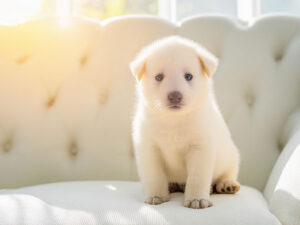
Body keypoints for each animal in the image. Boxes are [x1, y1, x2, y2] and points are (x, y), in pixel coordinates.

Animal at [130, 35, 240, 209]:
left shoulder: (200, 146)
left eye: (188, 76)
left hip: (231, 156)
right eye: (159, 77)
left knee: (227, 173)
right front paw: (156, 195)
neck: (174, 120)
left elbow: (197, 176)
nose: (175, 96)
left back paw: (226, 185)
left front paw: (197, 199)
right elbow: (155, 176)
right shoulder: (149, 147)